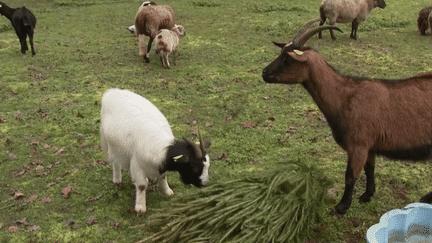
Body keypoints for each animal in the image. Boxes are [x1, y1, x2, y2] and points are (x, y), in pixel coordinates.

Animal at [262, 19, 432, 217]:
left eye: (287, 59)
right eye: (281, 53)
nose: (264, 73)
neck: (345, 96)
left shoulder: (358, 145)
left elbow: (350, 176)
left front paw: (341, 208)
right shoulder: (369, 146)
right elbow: (369, 169)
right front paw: (367, 195)